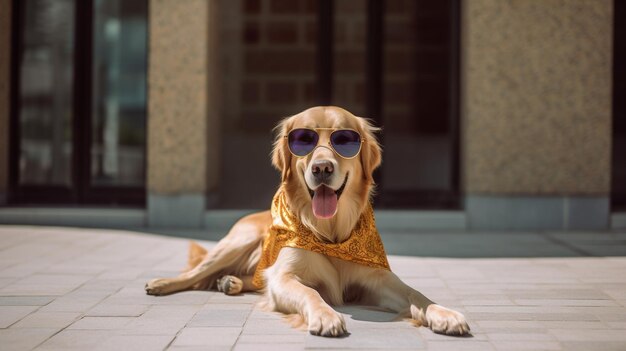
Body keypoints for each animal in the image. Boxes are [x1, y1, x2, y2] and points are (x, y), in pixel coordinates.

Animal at [145, 106, 468, 336]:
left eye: (344, 140)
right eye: (303, 140)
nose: (322, 167)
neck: (331, 234)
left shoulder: (378, 280)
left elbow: (417, 294)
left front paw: (445, 314)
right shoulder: (285, 277)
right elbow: (309, 291)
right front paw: (326, 316)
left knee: (251, 277)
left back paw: (231, 281)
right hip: (237, 241)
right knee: (196, 272)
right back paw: (162, 282)